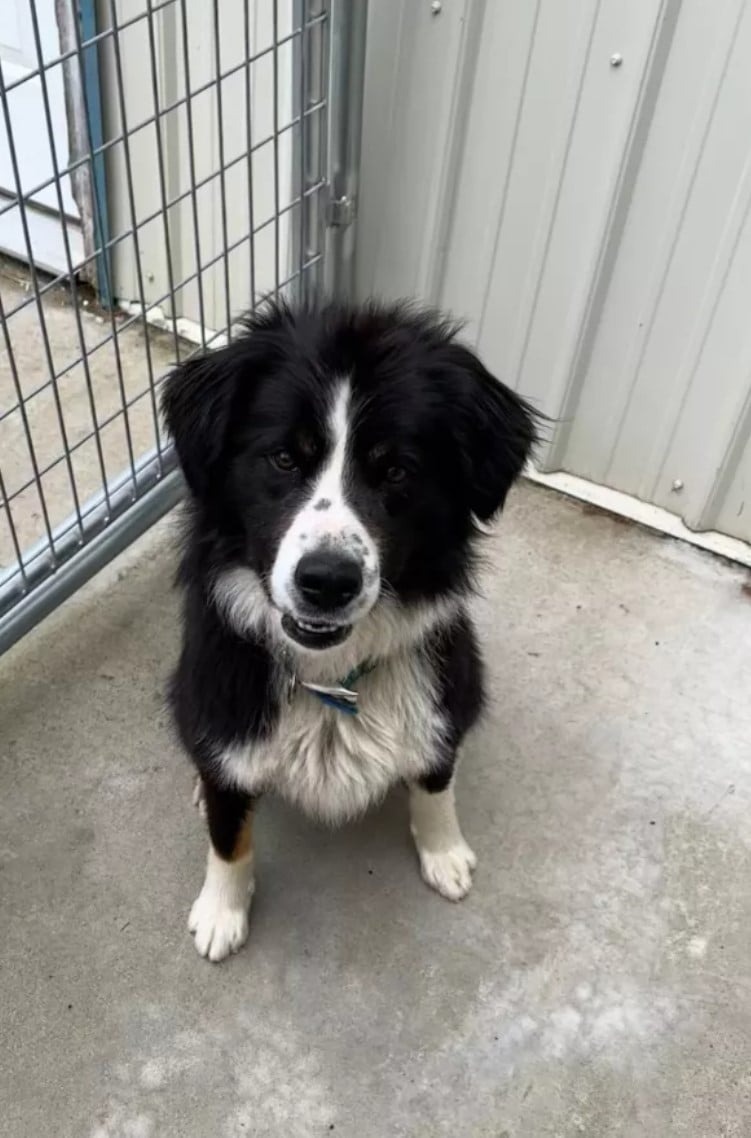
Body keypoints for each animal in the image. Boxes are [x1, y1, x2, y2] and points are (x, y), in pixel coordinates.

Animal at [162, 302, 539, 960]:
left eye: (396, 470)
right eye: (284, 457)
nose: (327, 582)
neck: (332, 678)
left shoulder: (444, 697)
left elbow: (435, 778)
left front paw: (445, 852)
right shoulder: (222, 706)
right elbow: (228, 831)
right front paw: (221, 911)